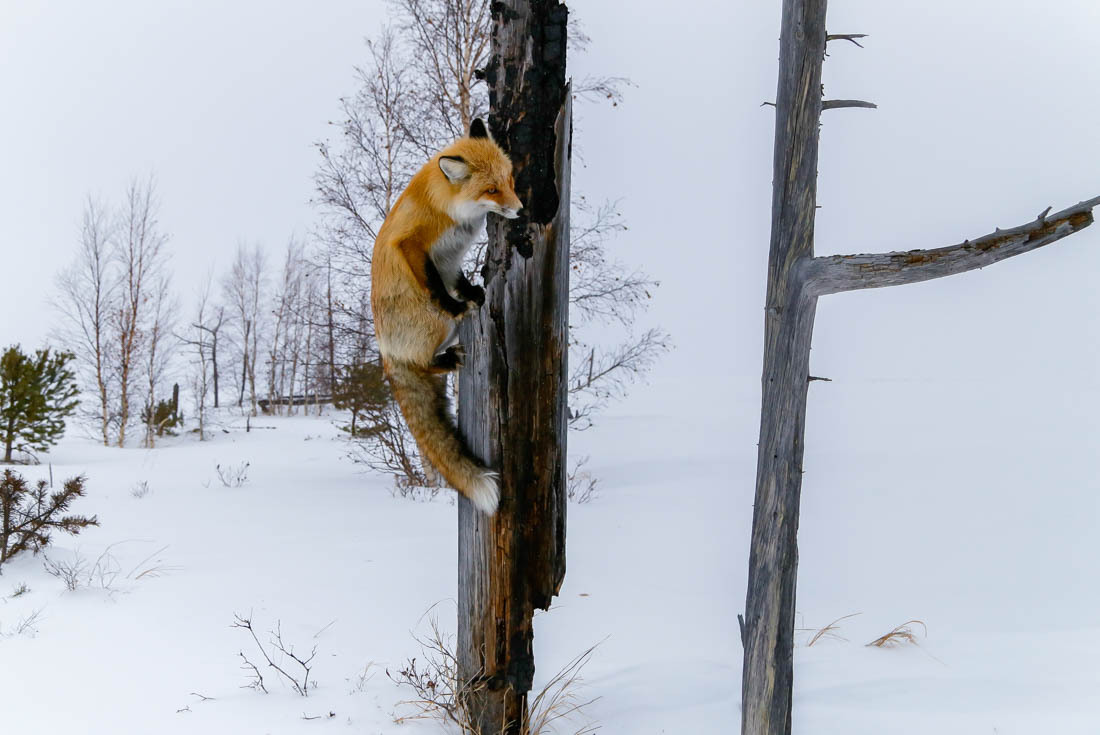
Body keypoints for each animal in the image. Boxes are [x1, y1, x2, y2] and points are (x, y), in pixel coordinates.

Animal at [371, 117, 521, 514]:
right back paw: (445, 358)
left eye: (510, 179)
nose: (519, 209)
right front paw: (456, 302)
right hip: (435, 325)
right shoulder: (412, 244)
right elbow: (436, 286)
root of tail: (385, 353)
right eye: (491, 189)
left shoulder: (450, 257)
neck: (447, 209)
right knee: (423, 363)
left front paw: (472, 292)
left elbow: (456, 279)